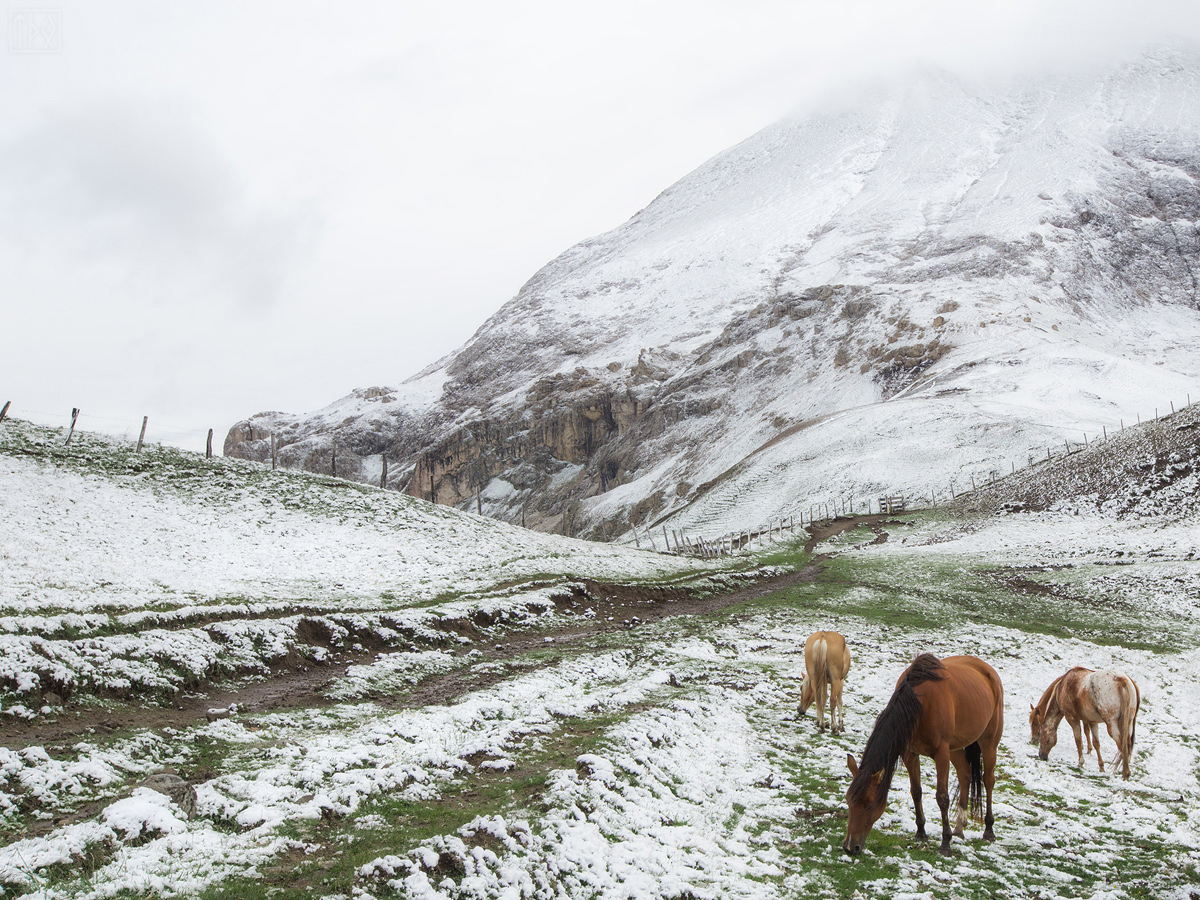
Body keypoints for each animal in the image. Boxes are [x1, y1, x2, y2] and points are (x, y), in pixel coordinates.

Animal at [844, 657, 1003, 859]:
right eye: (849, 801)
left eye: (870, 805)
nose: (850, 847)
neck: (919, 704)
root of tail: (987, 670)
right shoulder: (910, 753)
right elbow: (916, 791)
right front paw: (921, 833)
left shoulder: (941, 753)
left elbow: (942, 797)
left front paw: (945, 843)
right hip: (955, 748)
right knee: (965, 774)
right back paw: (959, 828)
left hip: (988, 742)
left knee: (988, 780)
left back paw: (989, 830)